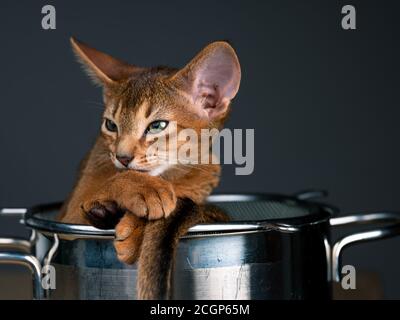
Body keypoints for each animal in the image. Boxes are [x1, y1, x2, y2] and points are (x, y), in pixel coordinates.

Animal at [59, 38, 241, 300]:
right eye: (111, 125)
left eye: (157, 126)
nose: (122, 157)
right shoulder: (69, 217)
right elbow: (117, 180)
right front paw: (144, 191)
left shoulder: (207, 171)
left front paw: (136, 228)